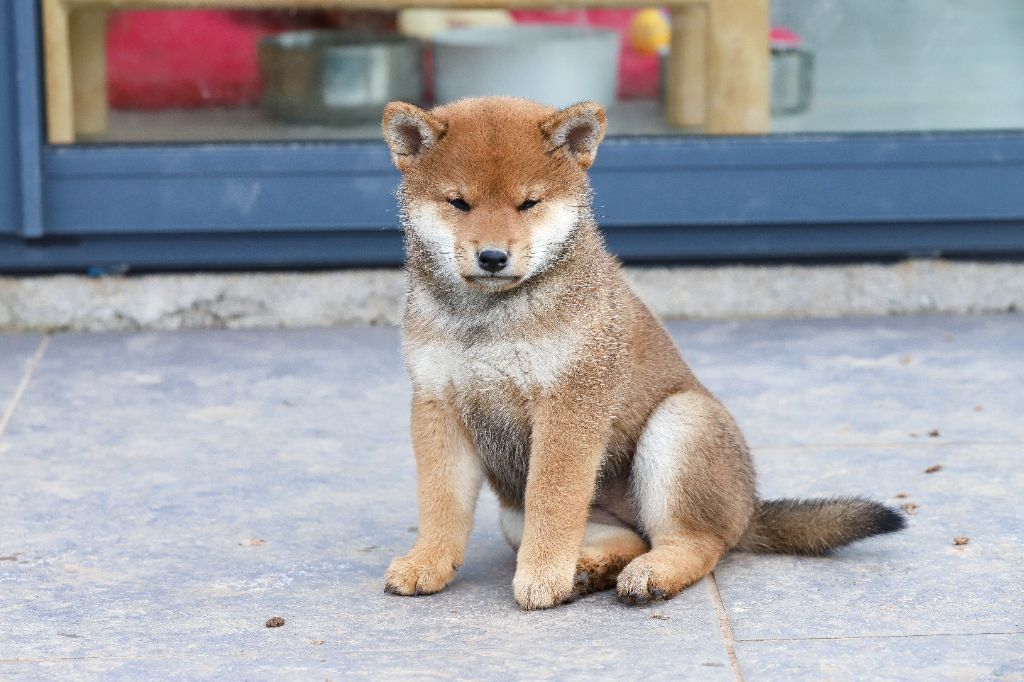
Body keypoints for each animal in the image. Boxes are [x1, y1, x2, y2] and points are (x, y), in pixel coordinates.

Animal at [380, 96, 905, 610]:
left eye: (528, 203)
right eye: (459, 203)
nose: (492, 257)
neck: (487, 319)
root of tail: (749, 510)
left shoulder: (572, 400)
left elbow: (554, 500)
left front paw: (543, 577)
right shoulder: (437, 403)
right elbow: (441, 501)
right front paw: (427, 563)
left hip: (680, 423)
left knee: (696, 542)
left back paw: (648, 575)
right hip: (520, 515)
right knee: (631, 538)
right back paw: (588, 571)